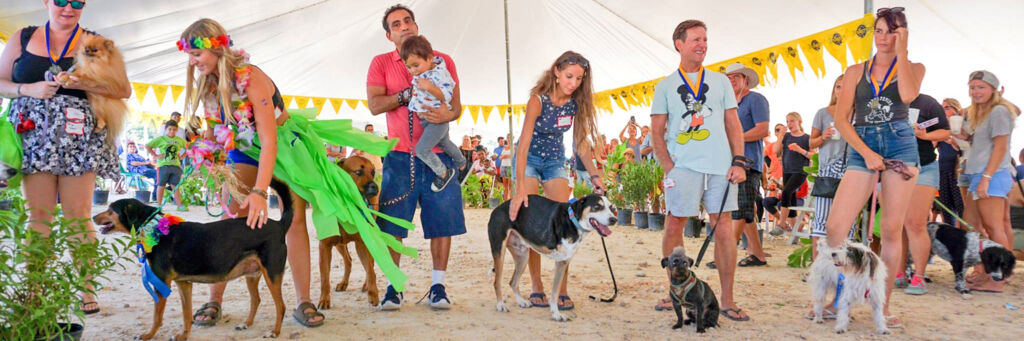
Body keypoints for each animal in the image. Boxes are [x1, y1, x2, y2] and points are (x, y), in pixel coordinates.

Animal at [93, 178, 292, 337]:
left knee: (281, 306)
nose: (93, 217)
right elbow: (186, 314)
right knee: (256, 300)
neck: (155, 228)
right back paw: (246, 324)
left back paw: (274, 332)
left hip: (272, 274)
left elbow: (157, 317)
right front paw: (183, 336)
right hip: (252, 274)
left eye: (110, 210)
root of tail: (279, 225)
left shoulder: (162, 282)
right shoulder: (184, 283)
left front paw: (148, 335)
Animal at [315, 155, 380, 307]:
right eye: (358, 172)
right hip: (340, 244)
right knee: (349, 260)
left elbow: (370, 270)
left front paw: (373, 294)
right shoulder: (324, 246)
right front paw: (324, 299)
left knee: (369, 266)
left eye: (373, 172)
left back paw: (366, 285)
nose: (375, 186)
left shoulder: (364, 243)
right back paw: (344, 283)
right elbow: (324, 277)